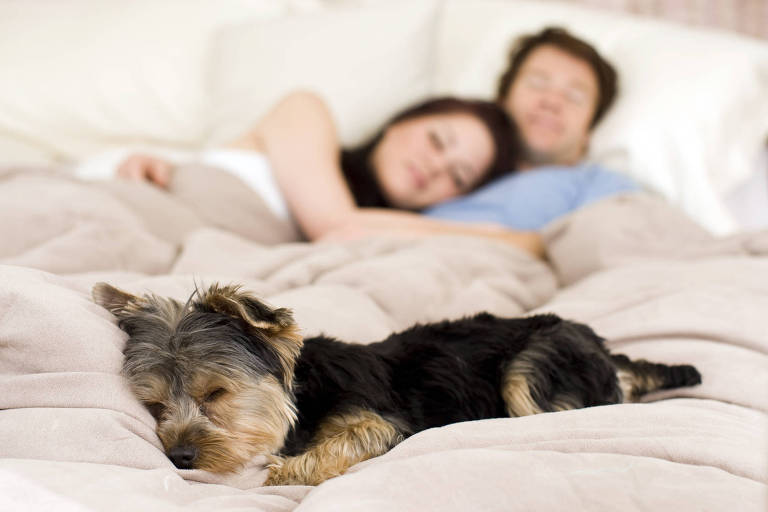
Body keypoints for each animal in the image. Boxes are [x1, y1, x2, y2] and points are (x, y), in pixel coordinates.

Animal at [91, 282, 704, 486]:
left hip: (537, 363)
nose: (181, 457)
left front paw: (287, 469)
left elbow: (346, 441)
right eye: (154, 406)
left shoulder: (380, 420)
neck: (301, 396)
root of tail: (605, 347)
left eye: (215, 394)